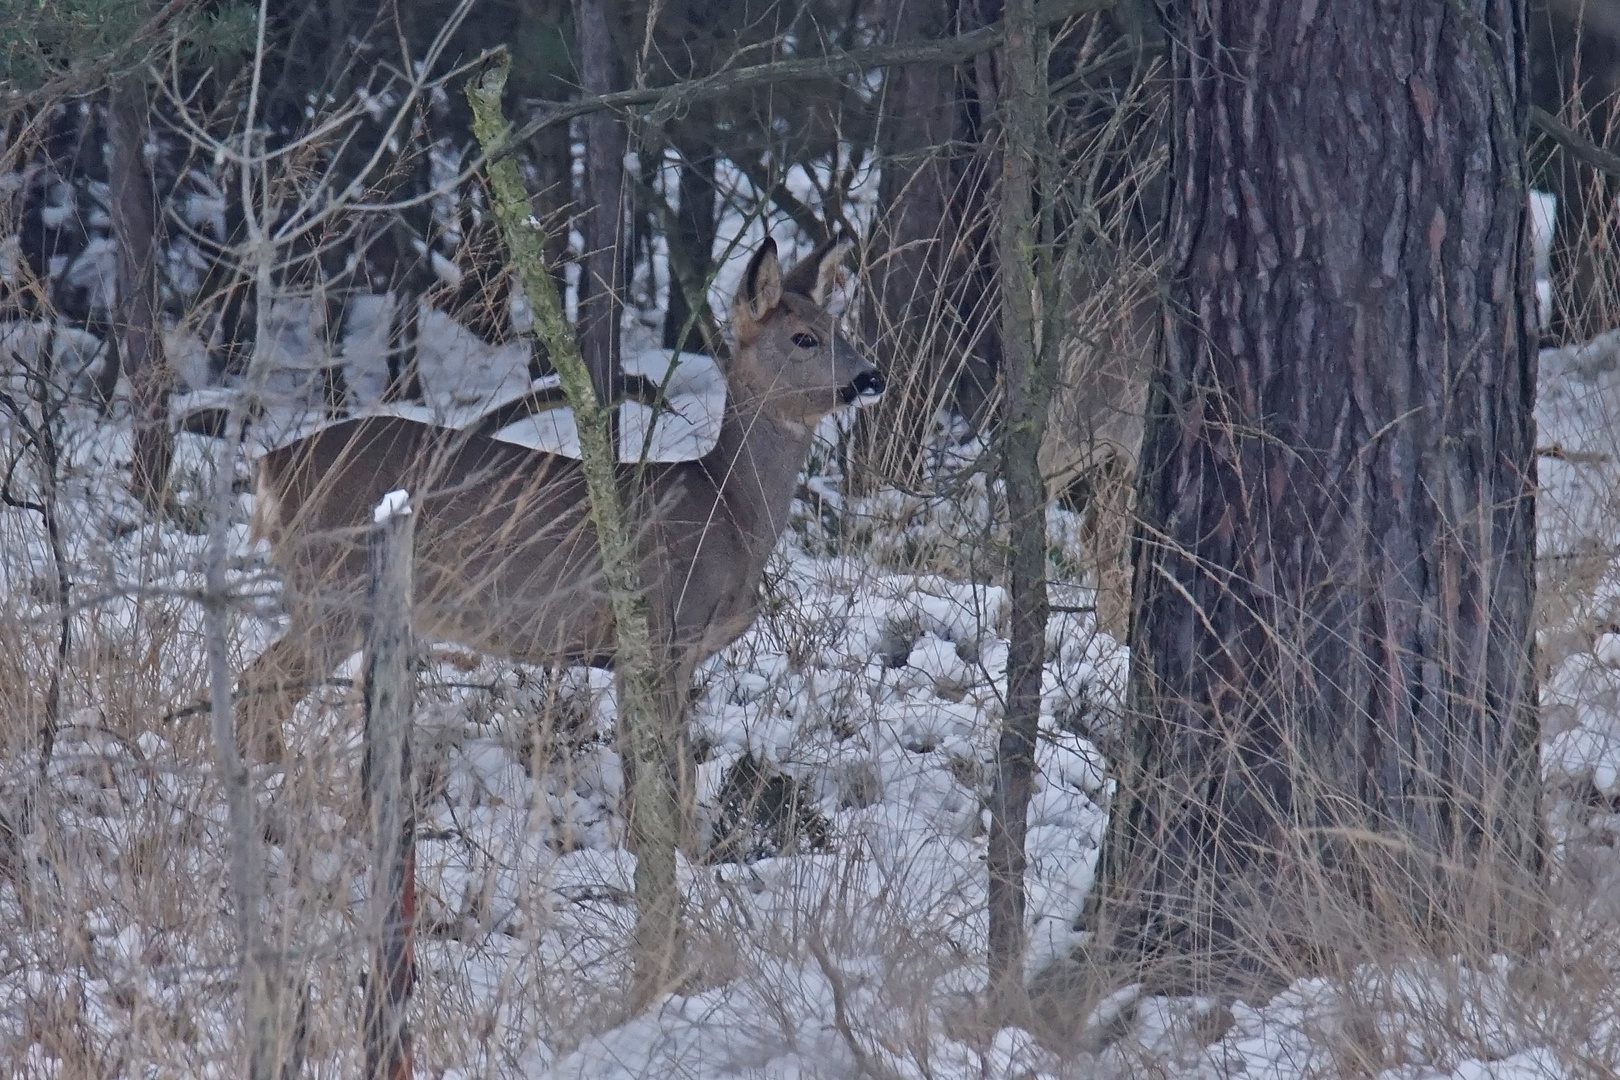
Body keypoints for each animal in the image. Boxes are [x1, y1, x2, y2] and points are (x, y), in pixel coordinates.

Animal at [236, 236, 887, 761]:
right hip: (334, 590)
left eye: (843, 332)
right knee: (258, 685)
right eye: (804, 338)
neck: (728, 510)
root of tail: (270, 467)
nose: (872, 377)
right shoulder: (656, 635)